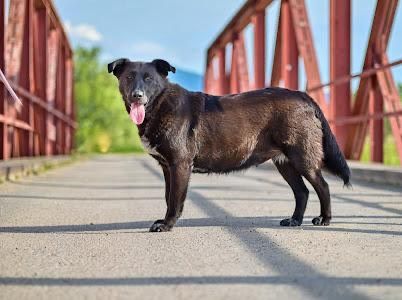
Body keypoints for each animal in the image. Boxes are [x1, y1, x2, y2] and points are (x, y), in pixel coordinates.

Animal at [108, 58, 350, 232]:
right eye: (129, 77)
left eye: (149, 78)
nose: (137, 96)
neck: (159, 105)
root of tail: (302, 96)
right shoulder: (167, 167)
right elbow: (168, 197)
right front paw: (166, 221)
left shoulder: (180, 165)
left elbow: (175, 200)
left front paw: (167, 225)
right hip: (285, 162)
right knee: (302, 192)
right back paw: (294, 220)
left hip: (303, 158)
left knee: (323, 187)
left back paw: (324, 219)